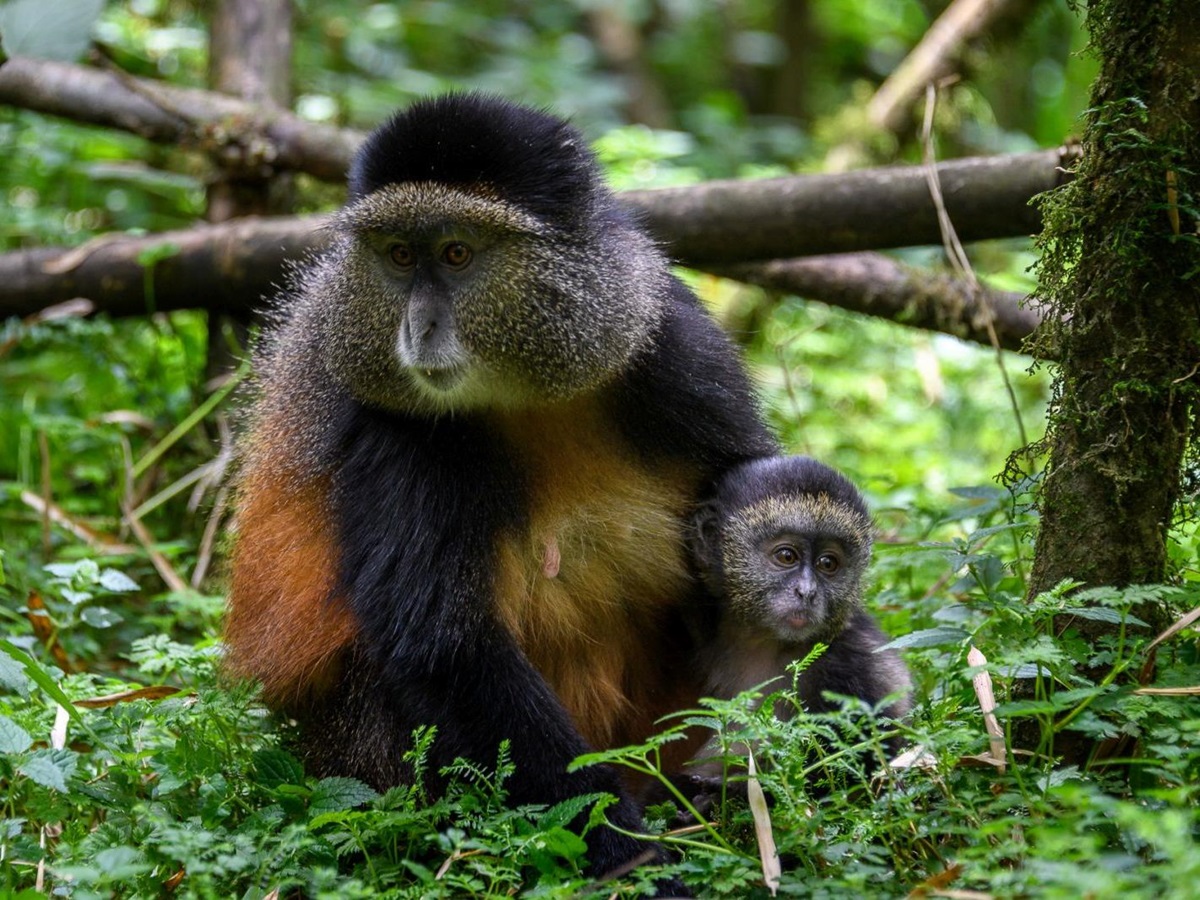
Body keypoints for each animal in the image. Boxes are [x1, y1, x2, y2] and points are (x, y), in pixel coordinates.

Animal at [223, 93, 777, 881]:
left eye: (457, 253)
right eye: (399, 255)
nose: (418, 329)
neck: (527, 390)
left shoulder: (674, 346)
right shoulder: (398, 429)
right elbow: (445, 647)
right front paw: (632, 859)